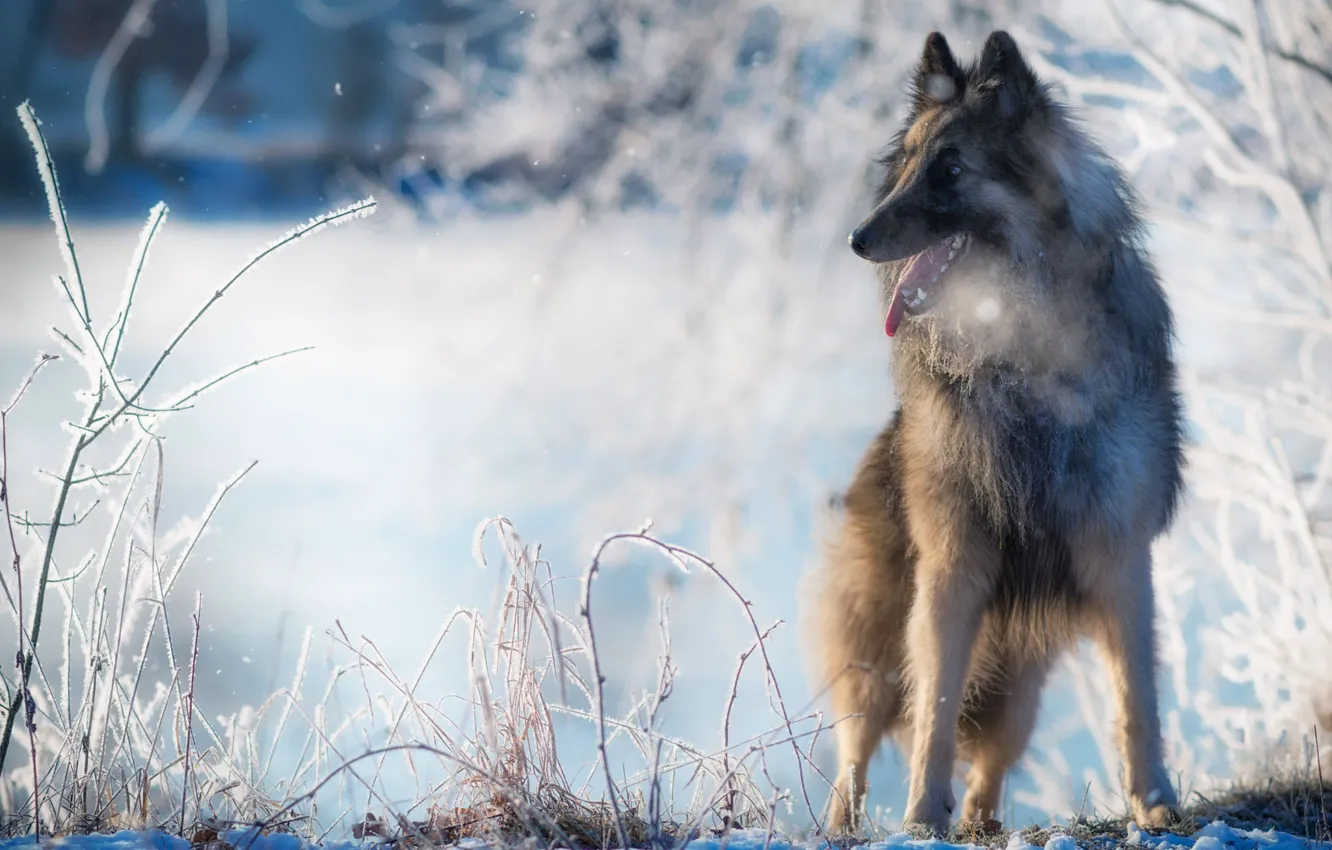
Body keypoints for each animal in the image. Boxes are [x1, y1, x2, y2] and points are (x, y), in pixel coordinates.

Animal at [799, 29, 1188, 836]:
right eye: (906, 166)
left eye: (950, 170)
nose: (857, 237)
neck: (1024, 352)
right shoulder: (951, 568)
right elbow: (937, 705)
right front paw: (921, 817)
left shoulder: (1120, 559)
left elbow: (1137, 696)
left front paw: (1156, 800)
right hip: (875, 650)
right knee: (857, 750)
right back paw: (847, 827)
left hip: (1020, 692)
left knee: (993, 762)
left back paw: (979, 821)